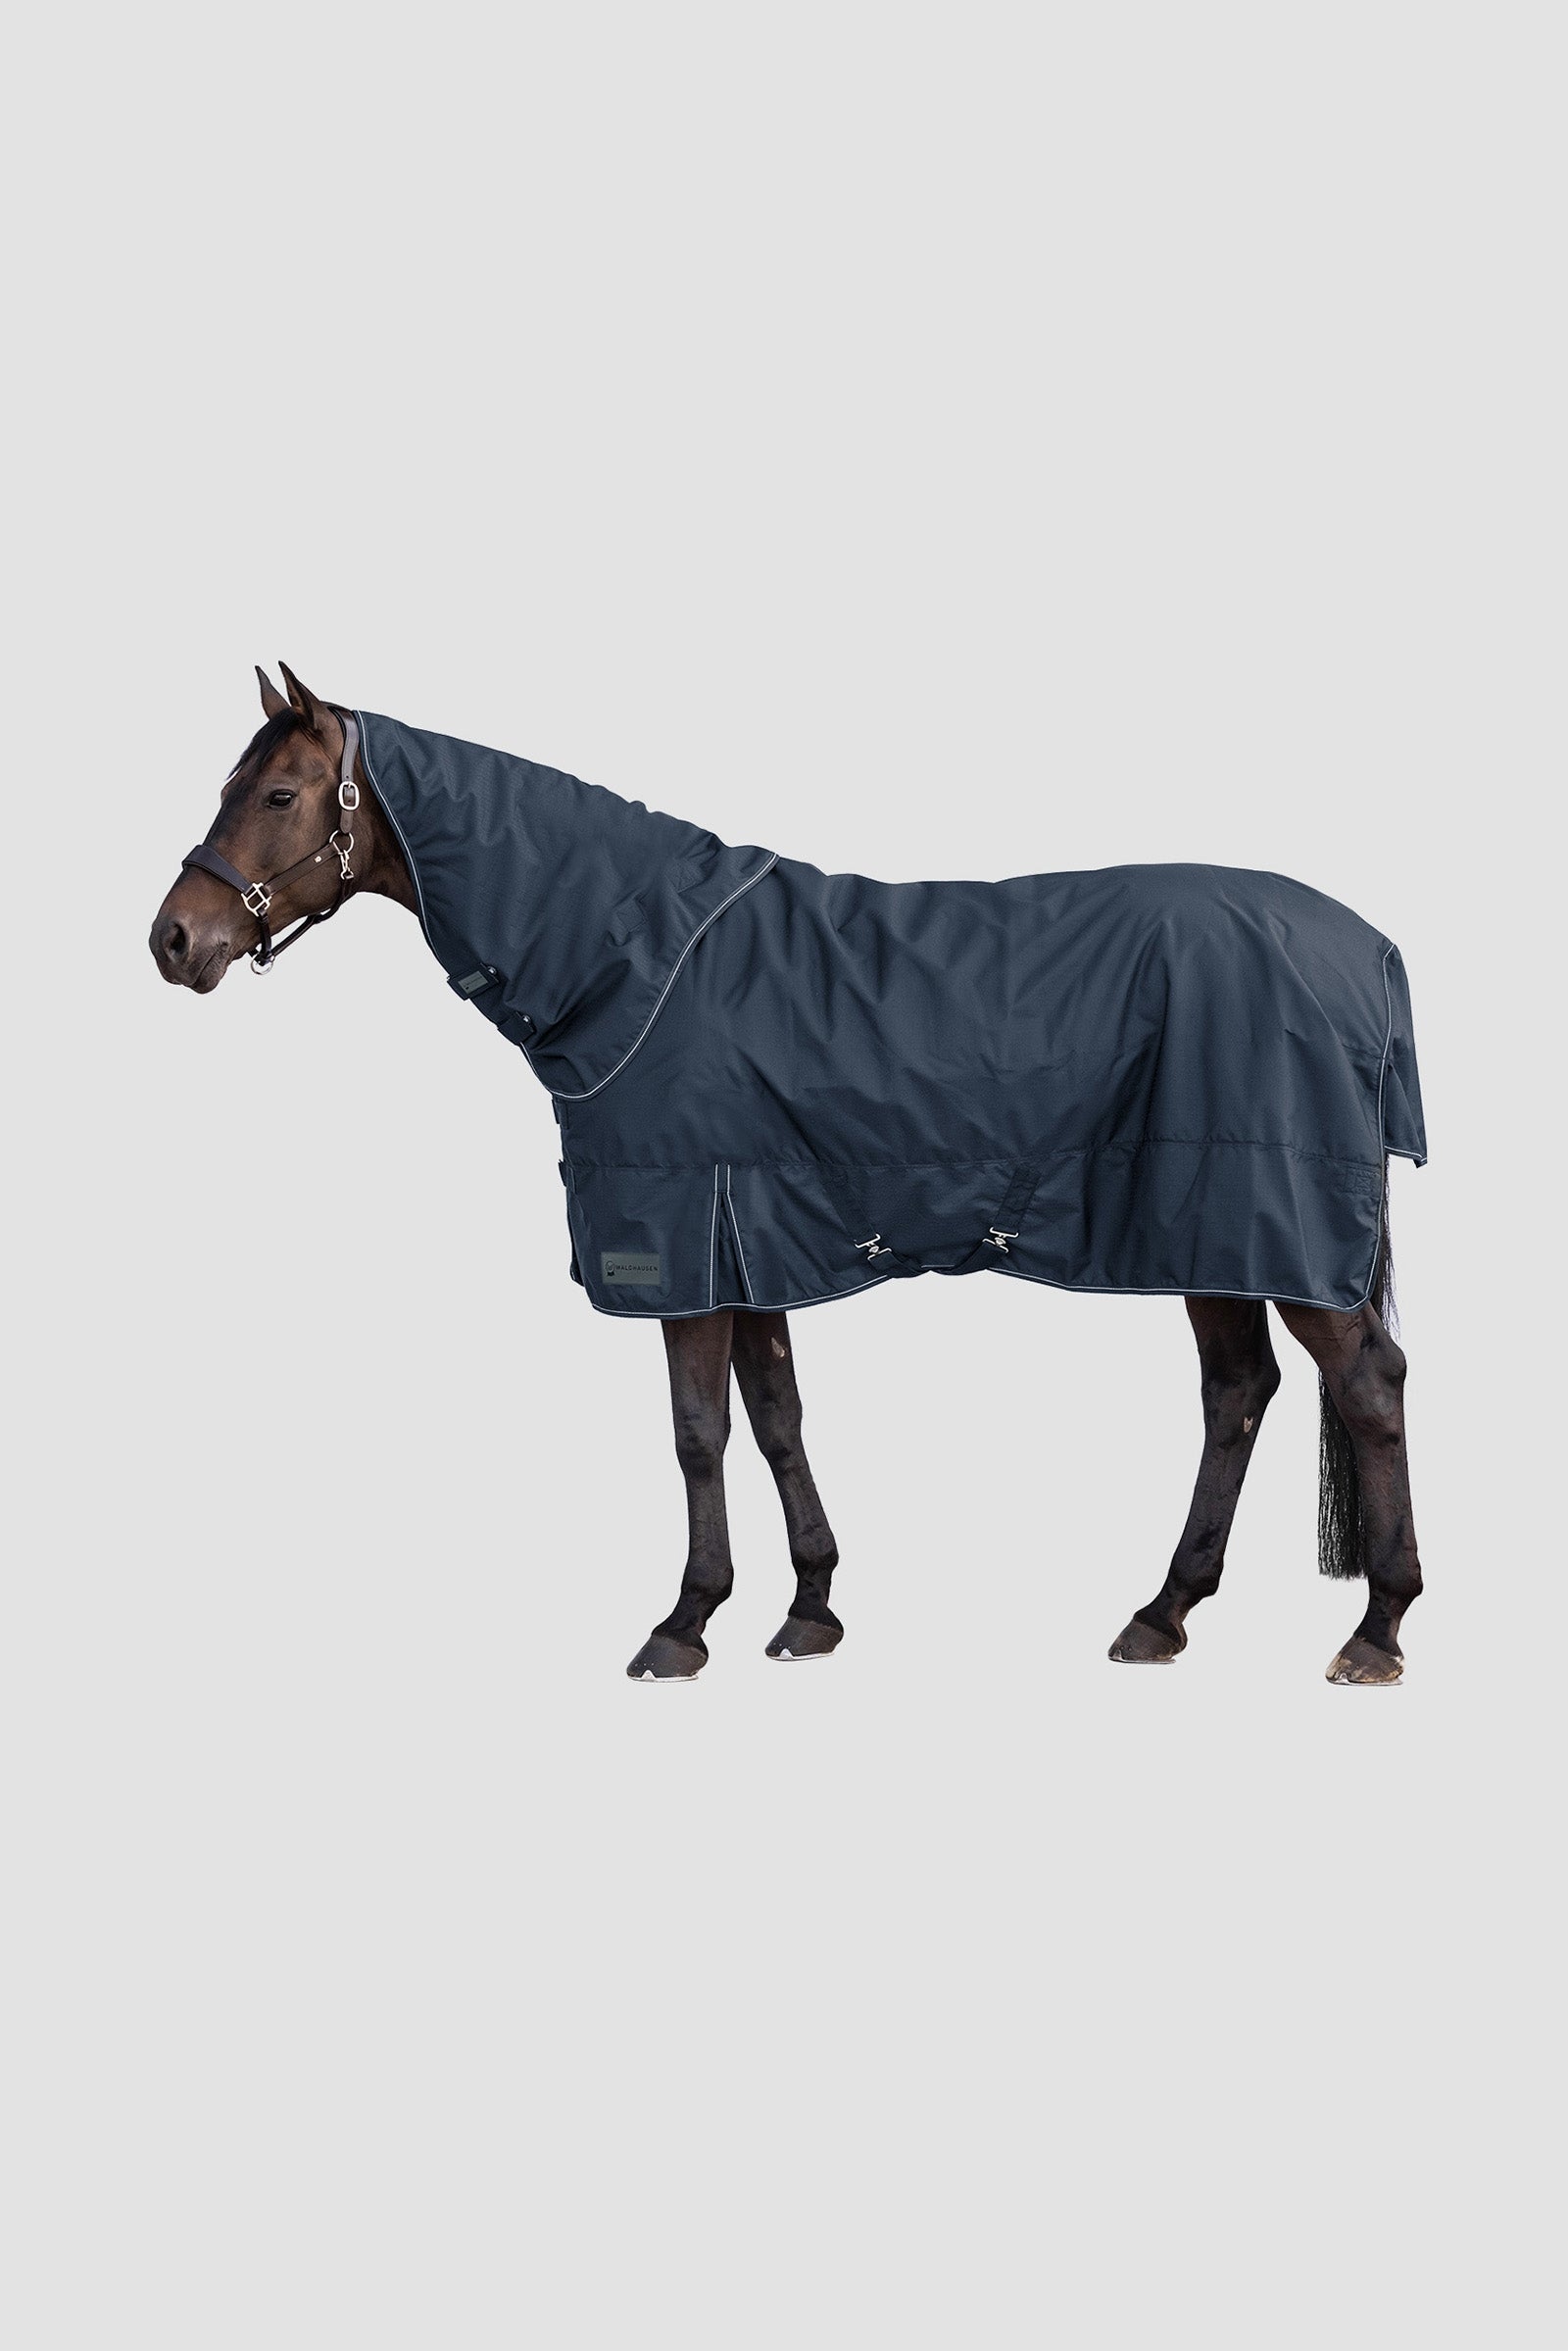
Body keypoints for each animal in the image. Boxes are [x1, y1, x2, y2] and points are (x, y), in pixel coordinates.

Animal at [150, 667, 1425, 1686]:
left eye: (277, 795)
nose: (173, 940)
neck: (631, 956)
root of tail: (1365, 947)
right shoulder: (749, 1235)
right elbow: (774, 1419)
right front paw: (809, 1608)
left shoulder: (682, 1237)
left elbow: (697, 1432)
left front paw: (682, 1623)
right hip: (1211, 1226)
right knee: (1237, 1392)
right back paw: (1161, 1614)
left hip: (1271, 1225)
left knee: (1365, 1385)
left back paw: (1375, 1630)